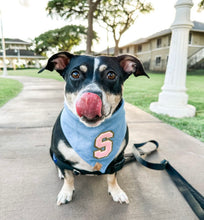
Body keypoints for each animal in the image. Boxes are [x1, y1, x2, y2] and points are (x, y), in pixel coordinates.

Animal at [39, 52, 148, 205]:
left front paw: (116, 191)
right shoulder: (60, 155)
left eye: (111, 75)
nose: (90, 97)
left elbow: (112, 176)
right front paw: (66, 192)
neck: (90, 131)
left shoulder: (117, 159)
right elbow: (68, 176)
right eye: (75, 74)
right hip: (52, 151)